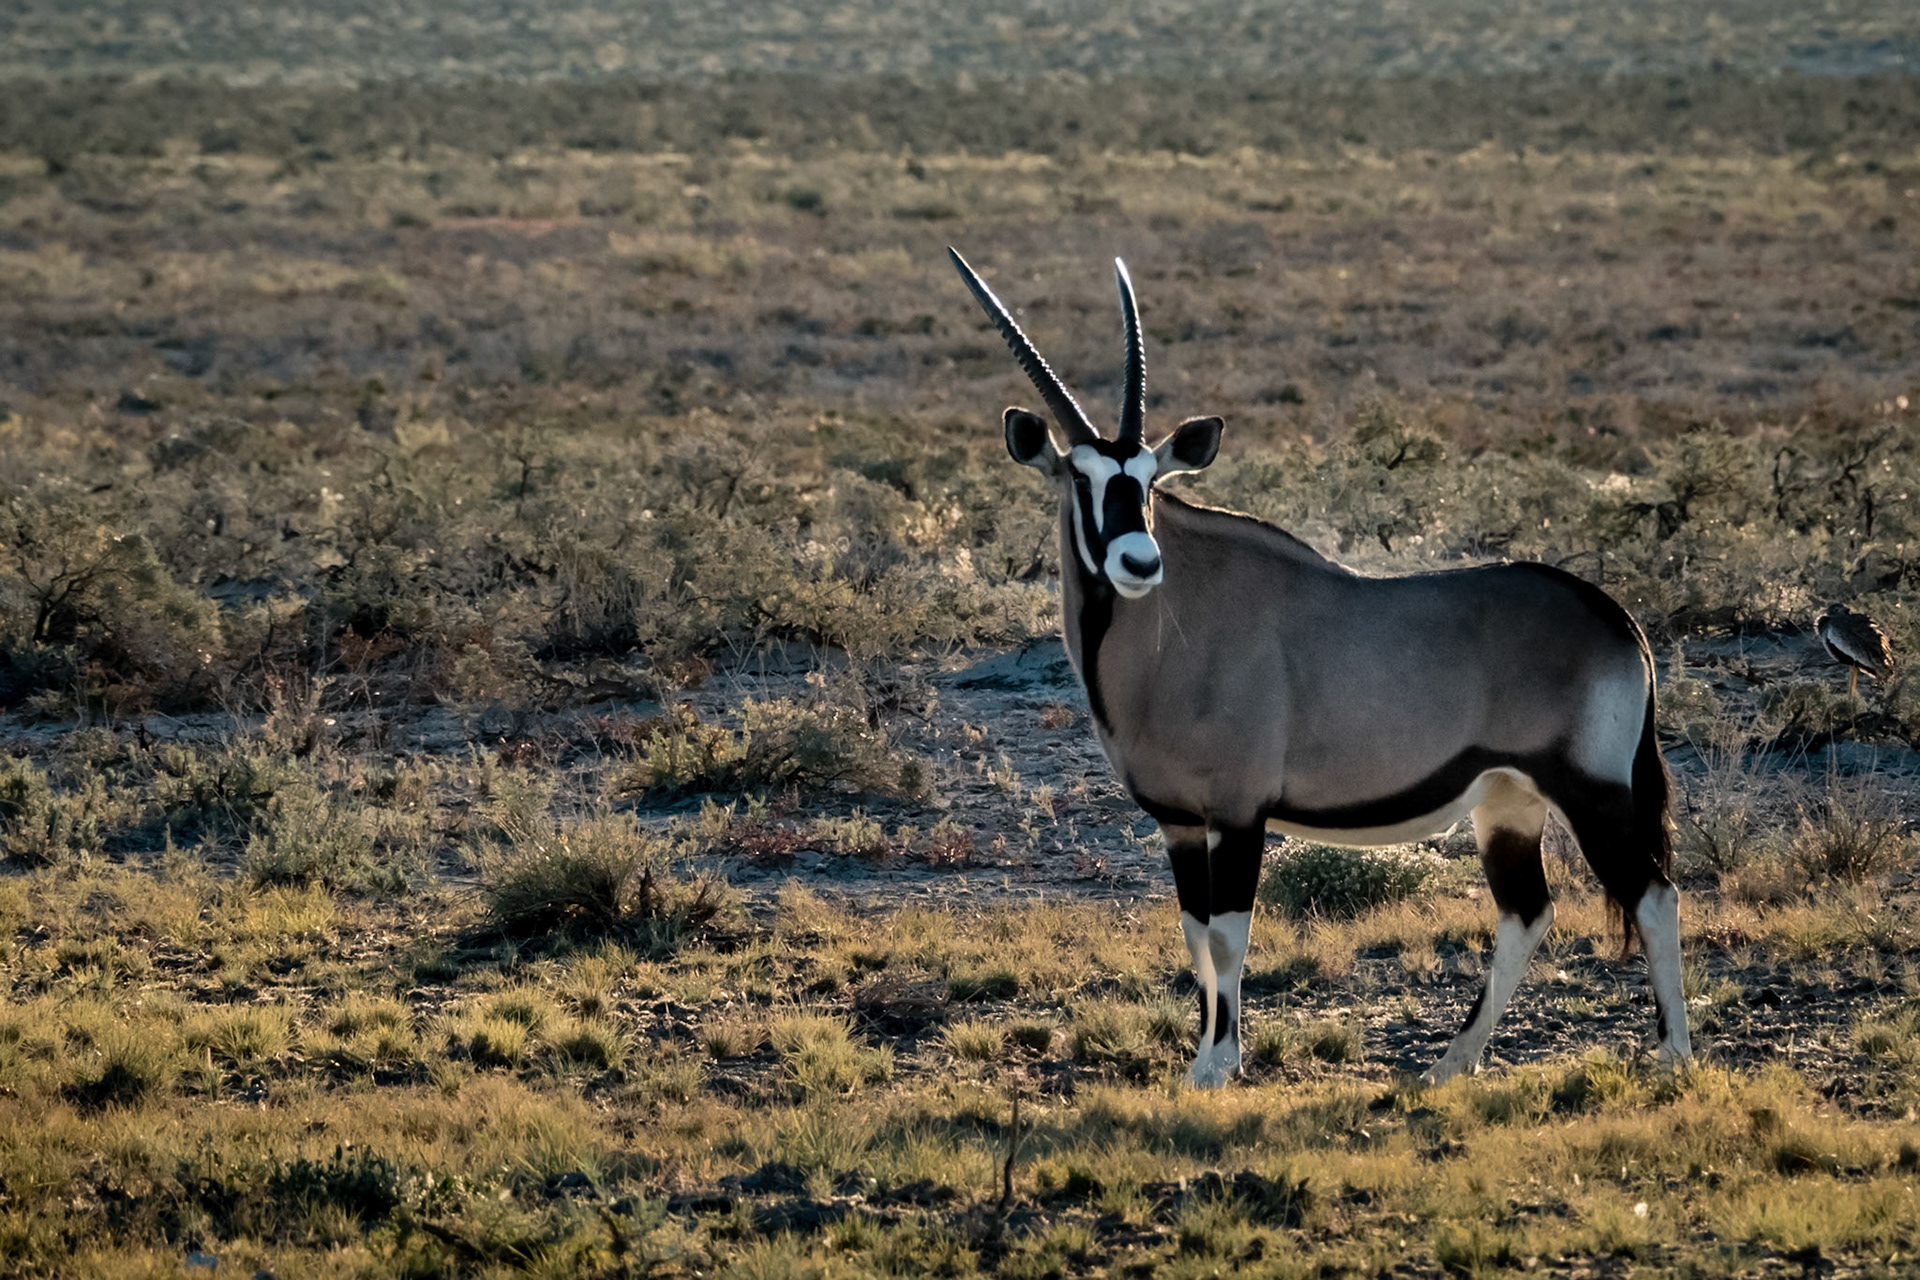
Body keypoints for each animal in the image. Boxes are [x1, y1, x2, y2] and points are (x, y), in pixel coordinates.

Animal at [948, 247, 1691, 1087]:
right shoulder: (1180, 823)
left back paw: (1674, 1055)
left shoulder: (1238, 813)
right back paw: (1449, 1065)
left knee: (1653, 895)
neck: (1170, 629)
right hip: (1509, 800)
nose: (1139, 561)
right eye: (1083, 478)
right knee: (1527, 912)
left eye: (1149, 479)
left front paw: (1221, 1066)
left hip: (1592, 790)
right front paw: (1200, 1063)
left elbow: (1229, 937)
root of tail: (1617, 621)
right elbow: (1195, 936)